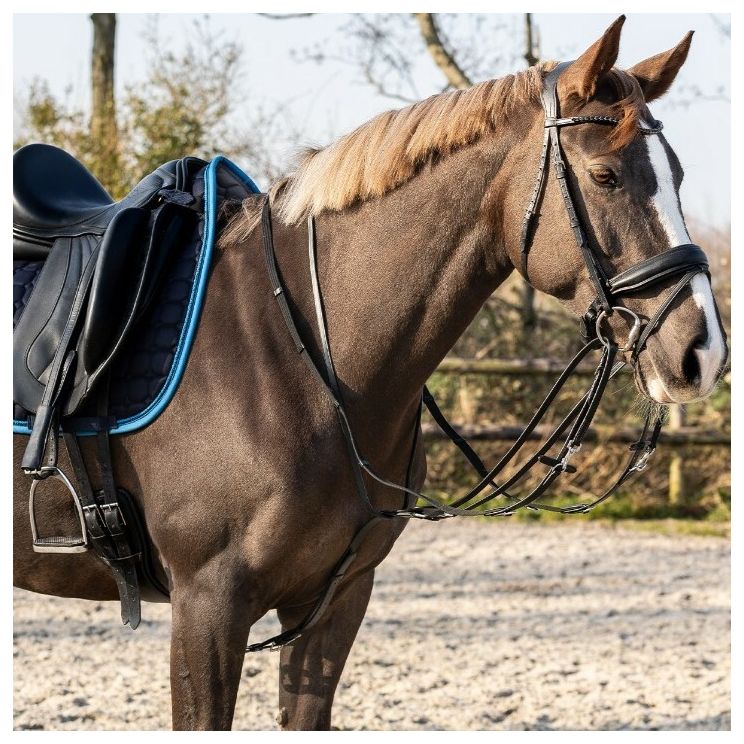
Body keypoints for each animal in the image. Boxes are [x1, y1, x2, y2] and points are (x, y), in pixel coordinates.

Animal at [13, 16, 728, 730]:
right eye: (605, 176)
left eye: (678, 174)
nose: (703, 353)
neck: (299, 354)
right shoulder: (207, 604)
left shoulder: (335, 599)